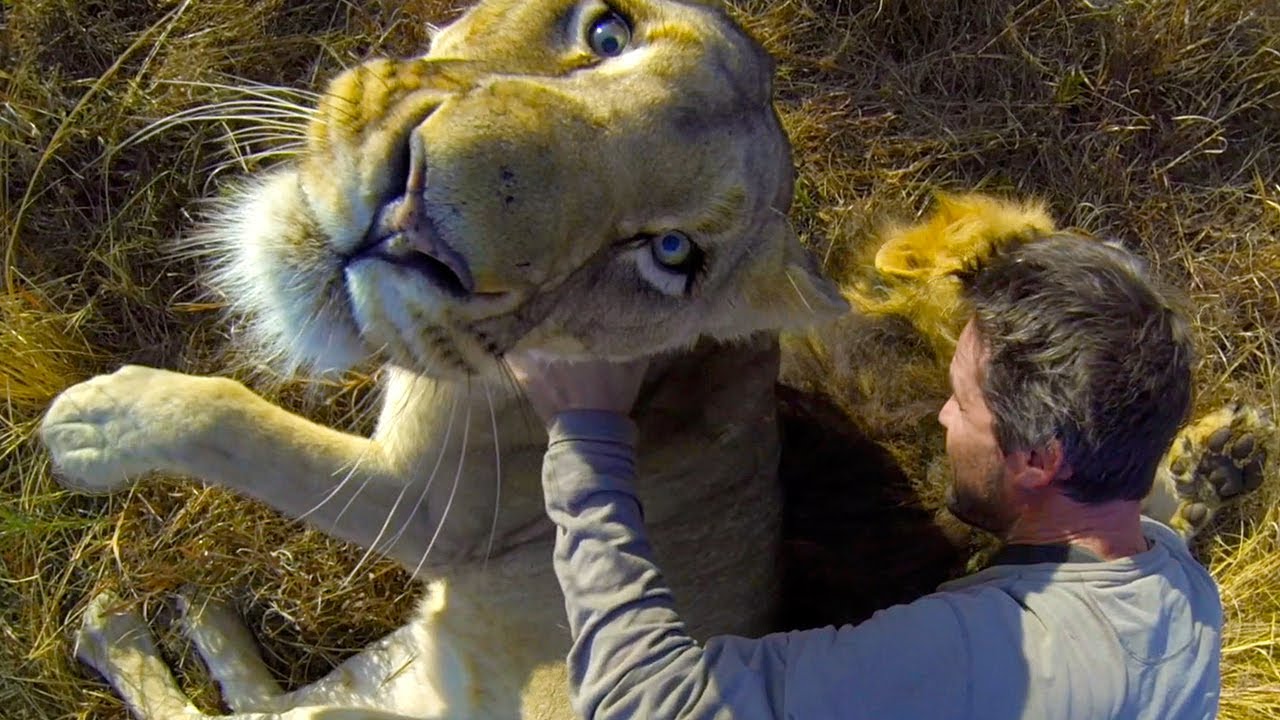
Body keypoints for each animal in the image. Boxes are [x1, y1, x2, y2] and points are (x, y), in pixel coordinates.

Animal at [39, 0, 847, 718]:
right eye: (607, 33)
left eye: (671, 252)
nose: (416, 220)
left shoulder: (430, 509)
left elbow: (237, 423)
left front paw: (98, 424)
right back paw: (183, 618)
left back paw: (120, 626)